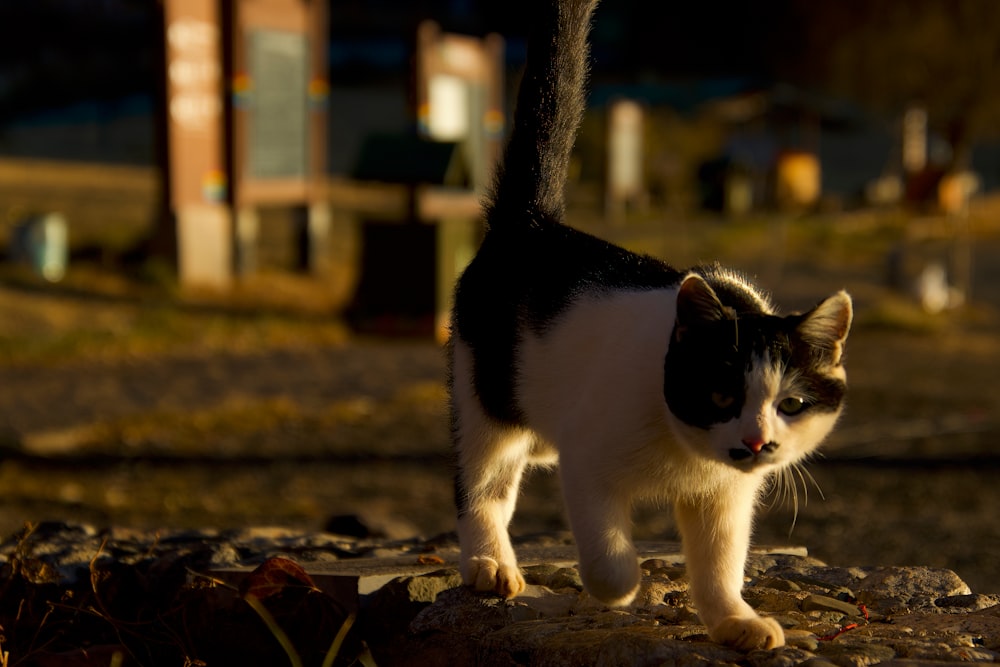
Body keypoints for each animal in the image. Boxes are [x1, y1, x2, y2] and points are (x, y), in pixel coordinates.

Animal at [450, 0, 848, 648]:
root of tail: (530, 224)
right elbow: (606, 548)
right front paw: (621, 587)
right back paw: (489, 565)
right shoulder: (587, 457)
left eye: (790, 404)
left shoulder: (727, 498)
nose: (756, 440)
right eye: (721, 394)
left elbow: (720, 561)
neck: (687, 456)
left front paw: (735, 620)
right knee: (483, 483)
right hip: (483, 395)